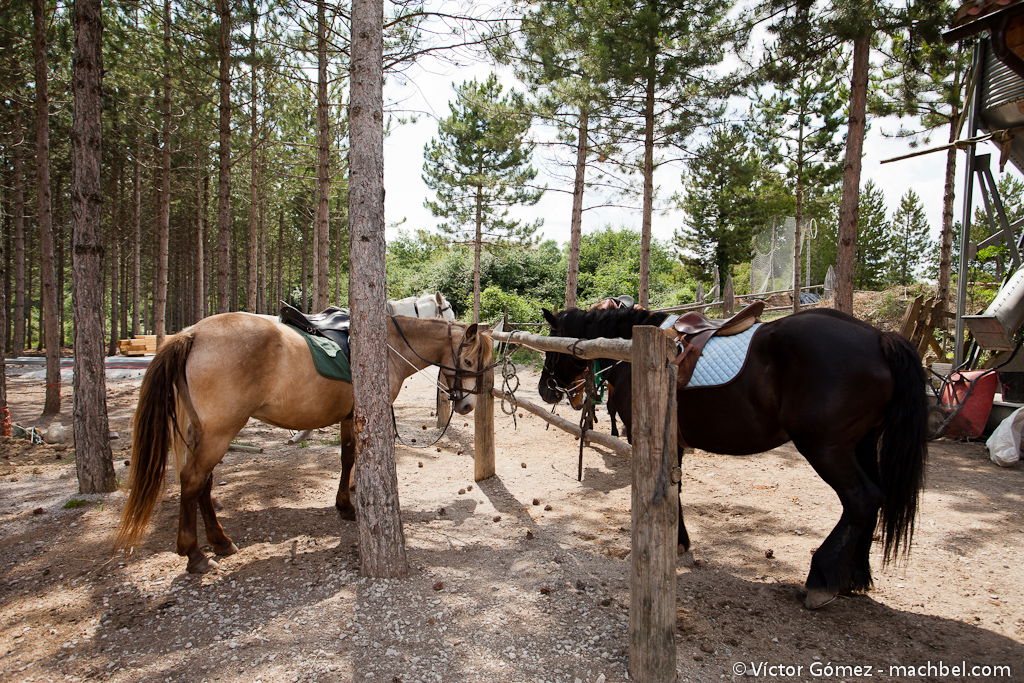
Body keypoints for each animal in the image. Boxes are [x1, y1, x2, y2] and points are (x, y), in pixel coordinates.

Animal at [115, 313, 491, 573]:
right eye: (468, 361)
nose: (467, 406)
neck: (388, 347)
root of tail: (192, 334)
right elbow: (352, 458)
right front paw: (349, 505)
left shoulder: (349, 416)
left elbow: (347, 458)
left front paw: (346, 502)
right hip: (219, 432)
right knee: (194, 481)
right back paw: (195, 553)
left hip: (199, 433)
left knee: (201, 484)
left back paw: (220, 542)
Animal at [536, 305, 929, 610]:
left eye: (551, 348)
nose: (544, 390)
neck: (632, 350)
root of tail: (879, 339)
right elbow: (676, 490)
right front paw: (680, 542)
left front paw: (674, 543)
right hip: (861, 444)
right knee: (873, 501)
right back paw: (853, 576)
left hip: (826, 448)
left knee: (862, 500)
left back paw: (821, 579)